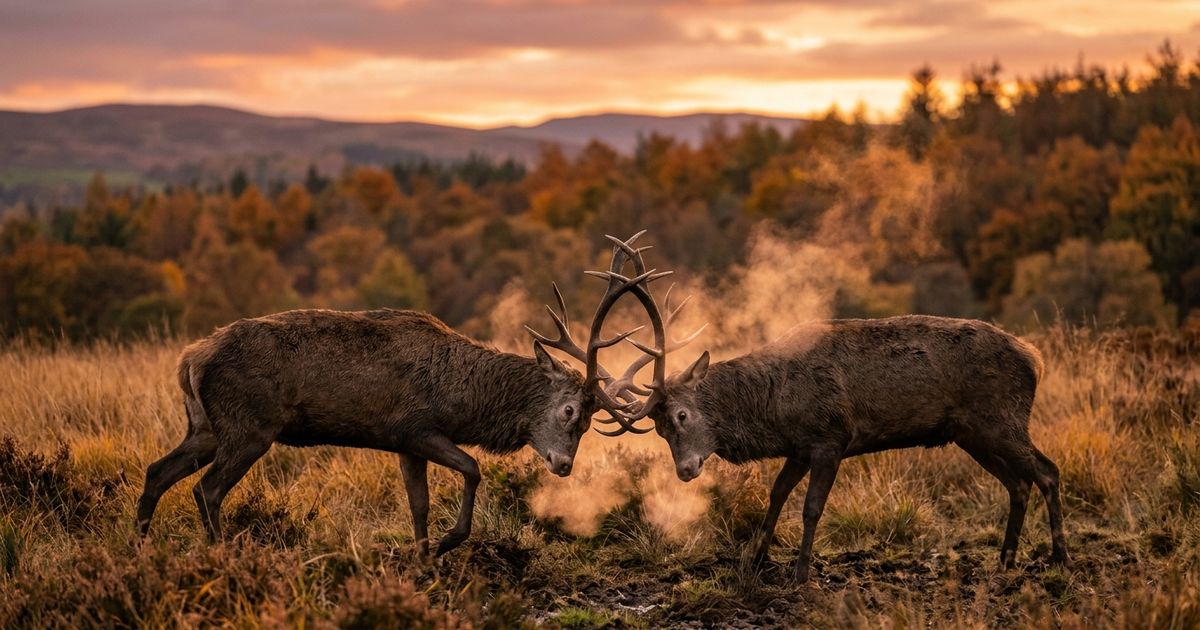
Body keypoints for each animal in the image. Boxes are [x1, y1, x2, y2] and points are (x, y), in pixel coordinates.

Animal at [136, 233, 659, 555]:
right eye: (569, 410)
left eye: (590, 422)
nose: (564, 465)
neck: (463, 398)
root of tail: (190, 359)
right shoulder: (415, 427)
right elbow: (472, 468)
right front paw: (449, 542)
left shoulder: (405, 445)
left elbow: (418, 505)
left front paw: (423, 559)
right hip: (249, 427)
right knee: (206, 489)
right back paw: (221, 552)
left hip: (207, 426)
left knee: (158, 471)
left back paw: (140, 547)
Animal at [600, 239, 1069, 582]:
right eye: (659, 429)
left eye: (681, 416)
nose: (685, 470)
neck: (775, 407)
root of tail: (1036, 359)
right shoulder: (798, 448)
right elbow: (776, 495)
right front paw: (754, 560)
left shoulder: (831, 436)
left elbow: (811, 507)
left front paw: (801, 572)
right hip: (972, 433)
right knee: (1018, 482)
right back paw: (1006, 560)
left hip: (1002, 420)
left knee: (1047, 471)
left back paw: (1060, 558)